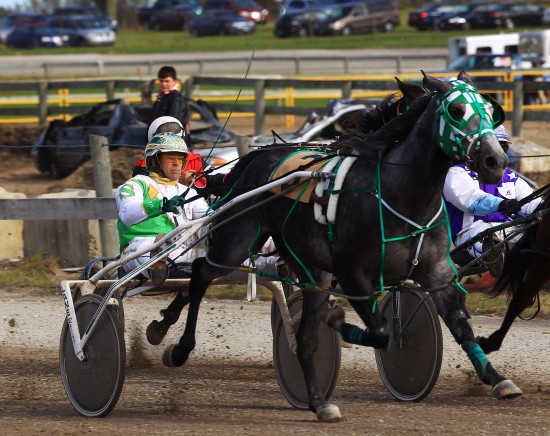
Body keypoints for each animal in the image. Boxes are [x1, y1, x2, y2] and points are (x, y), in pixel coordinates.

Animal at [147, 72, 520, 422]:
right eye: (457, 111)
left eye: (490, 111)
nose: (495, 160)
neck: (400, 195)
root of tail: (251, 158)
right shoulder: (354, 276)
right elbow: (381, 332)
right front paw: (338, 321)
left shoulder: (437, 273)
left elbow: (460, 326)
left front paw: (498, 378)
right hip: (235, 242)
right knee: (200, 275)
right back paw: (176, 346)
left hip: (309, 268)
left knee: (304, 339)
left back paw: (318, 402)